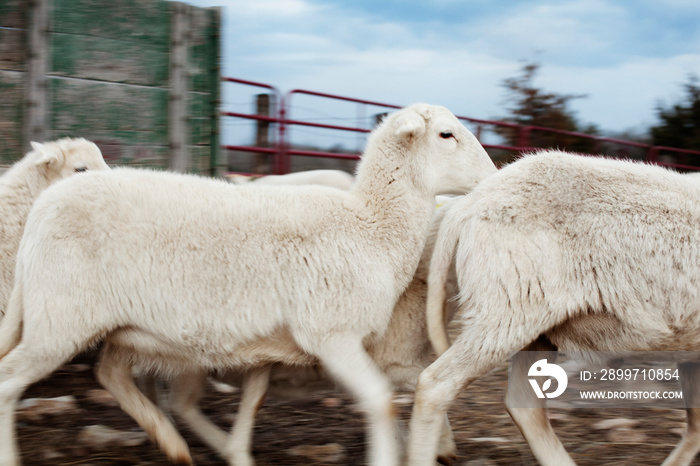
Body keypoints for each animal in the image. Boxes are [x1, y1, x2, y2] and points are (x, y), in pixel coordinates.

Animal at [410, 150, 700, 466]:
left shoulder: (691, 353)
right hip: (505, 313)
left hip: (536, 328)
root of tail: (471, 201)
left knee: (525, 405)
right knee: (436, 385)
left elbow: (696, 423)